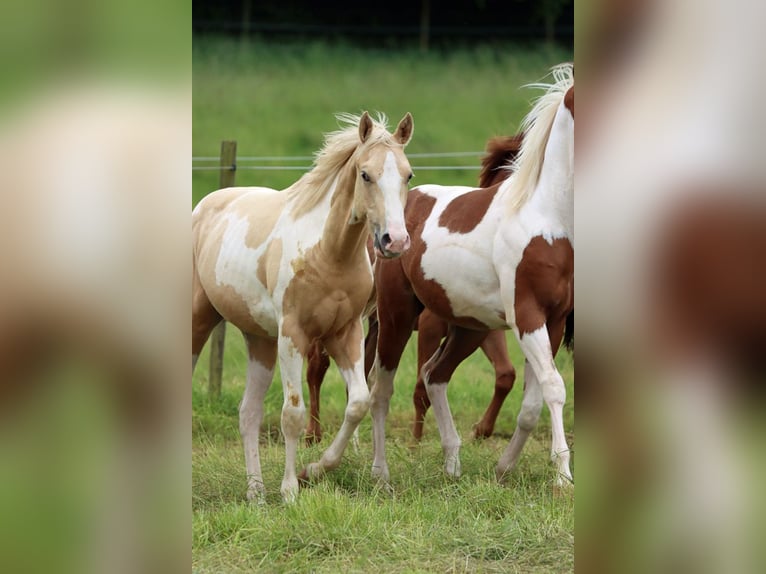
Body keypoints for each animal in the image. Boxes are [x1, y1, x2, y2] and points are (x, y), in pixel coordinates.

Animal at [195, 112, 416, 504]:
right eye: (365, 174)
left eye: (408, 175)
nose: (396, 241)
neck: (329, 253)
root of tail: (203, 206)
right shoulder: (292, 336)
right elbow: (293, 414)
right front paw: (289, 490)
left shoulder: (345, 334)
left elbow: (358, 403)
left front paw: (313, 470)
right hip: (198, 317)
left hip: (259, 341)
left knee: (248, 412)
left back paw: (255, 493)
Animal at [304, 135, 524, 446]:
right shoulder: (430, 328)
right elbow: (421, 386)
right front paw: (416, 443)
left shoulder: (483, 329)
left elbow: (505, 374)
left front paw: (479, 431)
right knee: (317, 366)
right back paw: (313, 433)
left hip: (376, 324)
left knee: (361, 373)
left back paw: (355, 442)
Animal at [368, 66, 572, 490]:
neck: (548, 220)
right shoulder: (528, 317)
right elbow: (555, 388)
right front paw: (564, 477)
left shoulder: (555, 321)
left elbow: (532, 404)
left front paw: (504, 468)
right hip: (397, 316)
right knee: (382, 390)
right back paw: (381, 475)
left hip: (469, 327)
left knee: (434, 375)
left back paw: (452, 462)